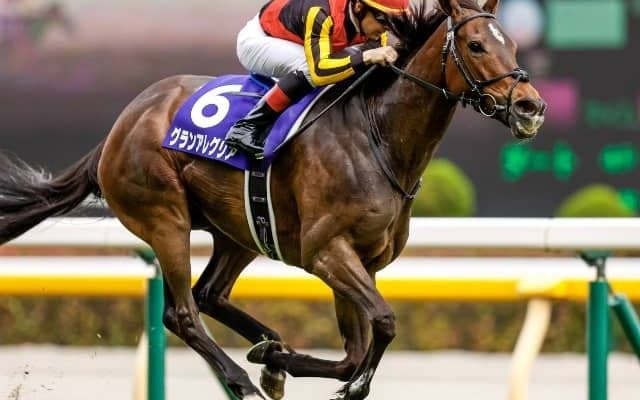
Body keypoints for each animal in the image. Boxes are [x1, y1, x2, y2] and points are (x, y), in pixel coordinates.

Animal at [0, 0, 545, 399]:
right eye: (475, 45)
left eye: (514, 44)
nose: (530, 106)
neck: (378, 135)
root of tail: (121, 124)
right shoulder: (327, 252)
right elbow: (385, 322)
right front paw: (337, 382)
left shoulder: (360, 261)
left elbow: (355, 348)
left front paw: (279, 362)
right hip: (164, 218)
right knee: (183, 312)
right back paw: (241, 380)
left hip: (238, 231)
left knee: (208, 294)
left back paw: (267, 354)